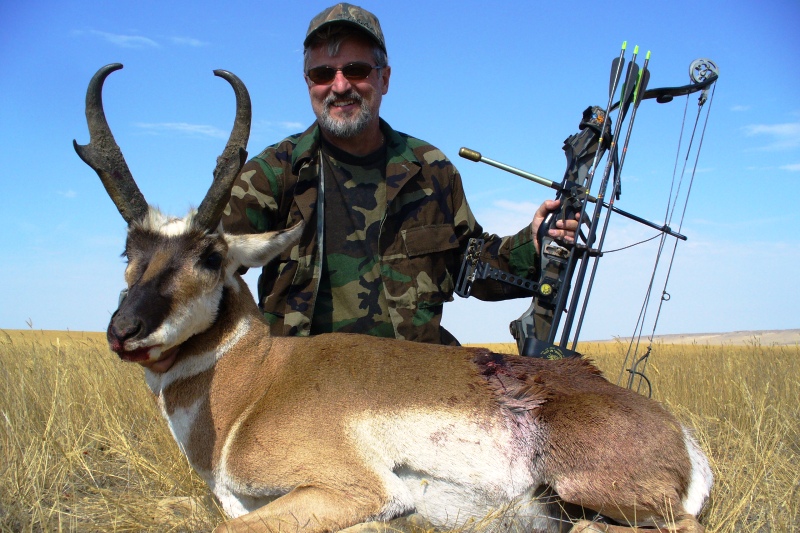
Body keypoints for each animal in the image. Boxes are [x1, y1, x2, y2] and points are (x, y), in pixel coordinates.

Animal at [75, 64, 712, 528]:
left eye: (210, 256)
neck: (256, 381)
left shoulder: (353, 489)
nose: (123, 331)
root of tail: (681, 436)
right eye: (128, 251)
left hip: (585, 487)